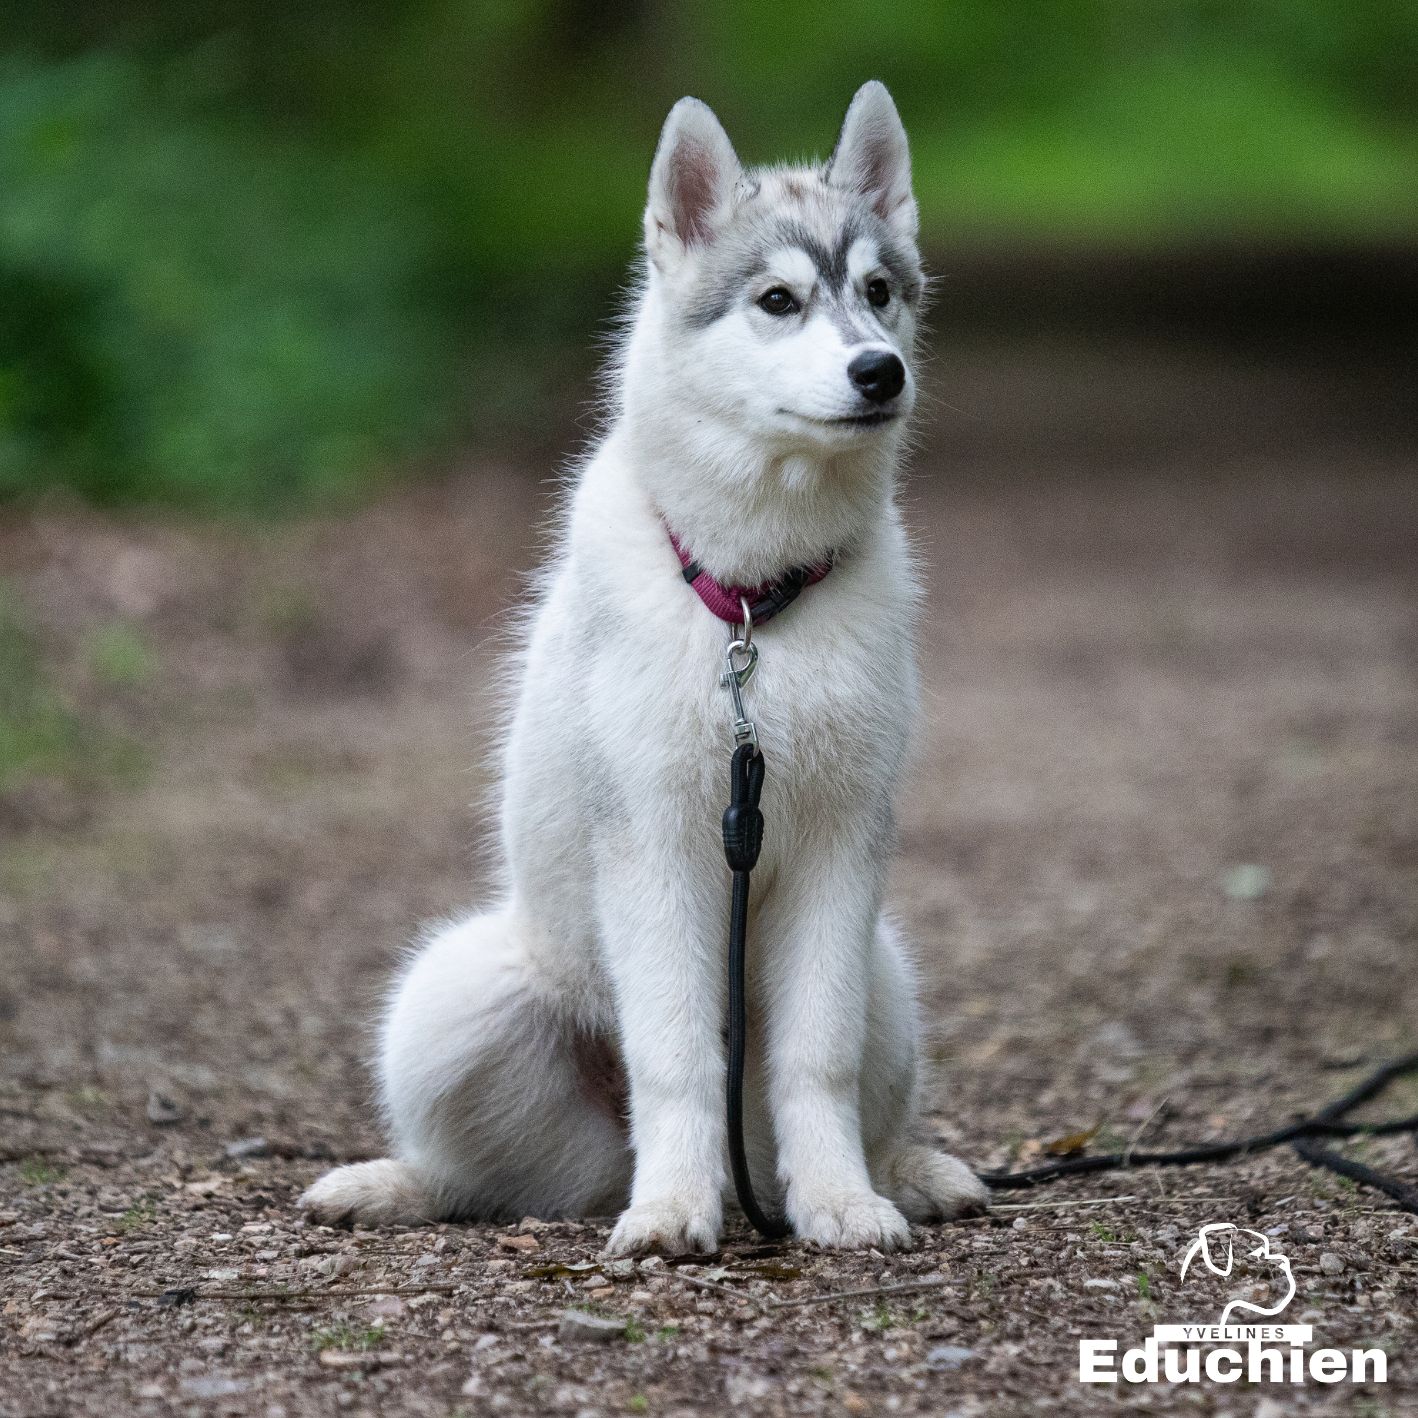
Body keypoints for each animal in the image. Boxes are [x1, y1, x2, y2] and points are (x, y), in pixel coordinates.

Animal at [299, 82, 986, 1253]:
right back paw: (417, 1184)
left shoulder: (844, 849)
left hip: (887, 977)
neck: (753, 602)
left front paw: (844, 1200)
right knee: (499, 1181)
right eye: (775, 300)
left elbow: (817, 1057)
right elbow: (675, 1054)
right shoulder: (654, 841)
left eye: (878, 292)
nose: (879, 370)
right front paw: (670, 1210)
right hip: (454, 997)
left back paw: (903, 1171)